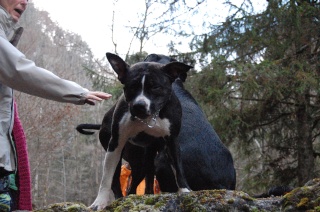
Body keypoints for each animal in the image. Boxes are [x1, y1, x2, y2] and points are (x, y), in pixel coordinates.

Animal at [89, 53, 191, 210]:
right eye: (131, 87)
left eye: (155, 86)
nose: (139, 105)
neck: (149, 118)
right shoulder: (115, 144)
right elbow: (106, 178)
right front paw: (99, 201)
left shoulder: (172, 140)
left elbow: (179, 168)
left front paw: (184, 191)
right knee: (116, 180)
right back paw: (120, 198)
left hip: (144, 159)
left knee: (144, 175)